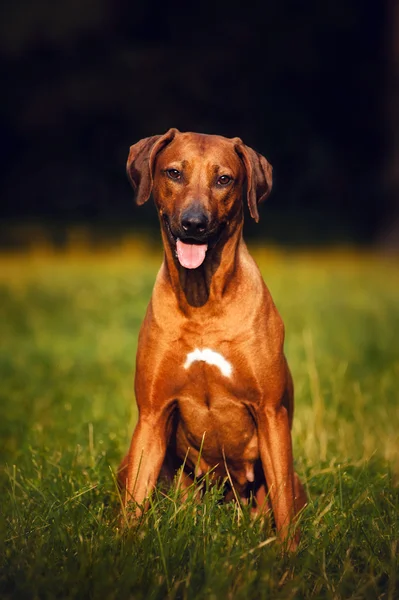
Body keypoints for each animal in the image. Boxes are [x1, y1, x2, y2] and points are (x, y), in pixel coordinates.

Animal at [118, 129, 306, 552]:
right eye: (173, 172)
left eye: (224, 179)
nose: (194, 224)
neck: (202, 301)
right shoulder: (151, 414)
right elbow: (133, 504)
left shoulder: (271, 414)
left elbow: (284, 506)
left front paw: (290, 558)